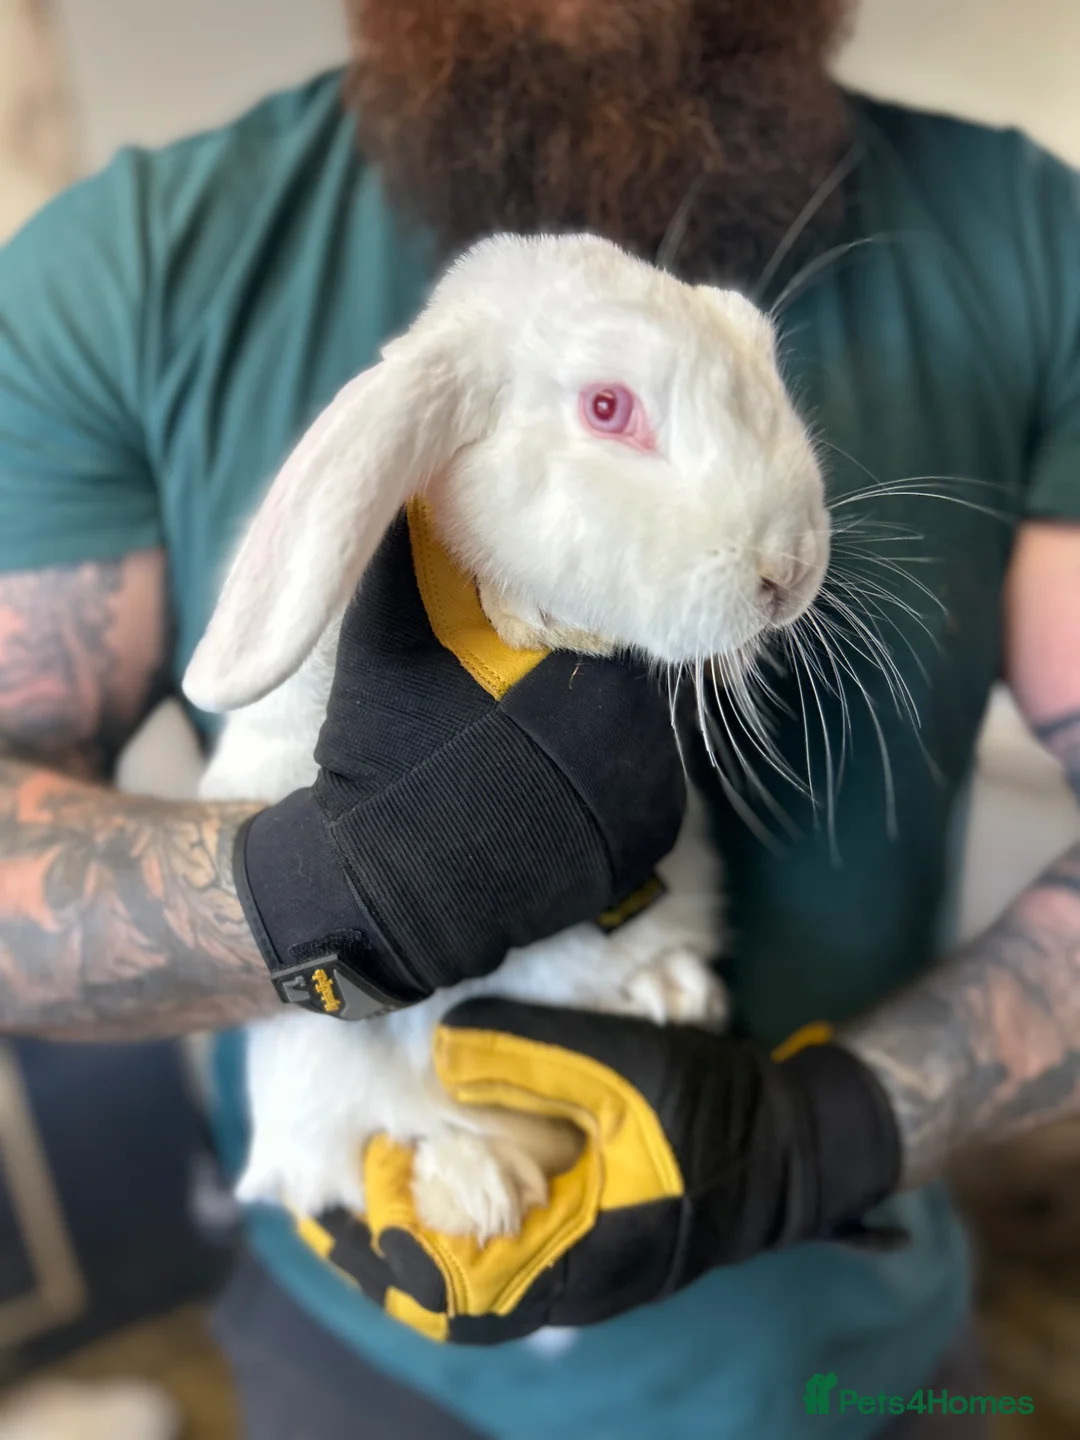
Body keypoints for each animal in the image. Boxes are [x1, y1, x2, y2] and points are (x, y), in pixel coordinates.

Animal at [183, 233, 830, 1245]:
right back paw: (478, 1187)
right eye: (607, 407)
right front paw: (532, 617)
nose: (790, 569)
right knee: (360, 1144)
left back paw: (668, 998)